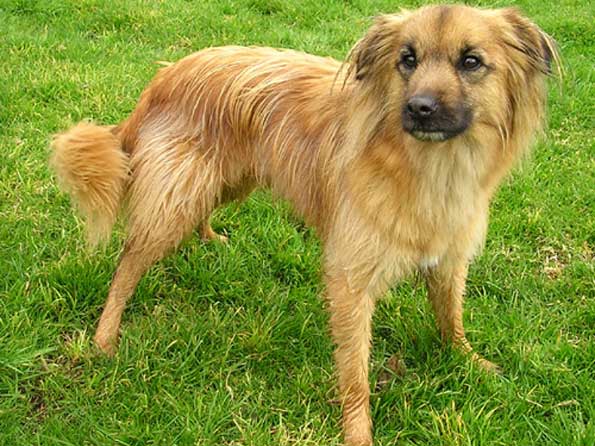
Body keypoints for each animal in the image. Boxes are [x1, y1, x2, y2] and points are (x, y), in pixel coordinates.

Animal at [51, 4, 560, 446]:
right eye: (407, 59)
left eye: (471, 61)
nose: (418, 108)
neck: (426, 165)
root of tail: (165, 75)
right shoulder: (350, 279)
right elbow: (356, 372)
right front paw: (358, 433)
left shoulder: (448, 257)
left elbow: (451, 316)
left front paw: (468, 361)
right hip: (176, 198)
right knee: (128, 263)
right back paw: (104, 337)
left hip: (228, 178)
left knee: (200, 213)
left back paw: (210, 238)